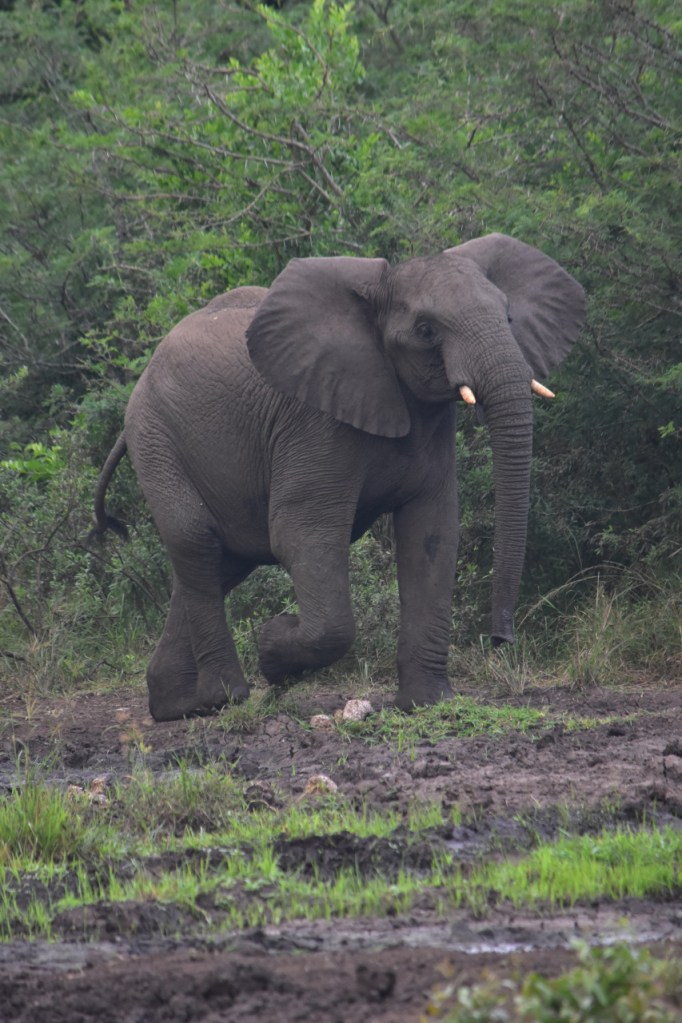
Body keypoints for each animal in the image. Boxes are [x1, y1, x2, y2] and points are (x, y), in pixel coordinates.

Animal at [94, 233, 584, 722]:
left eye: (508, 317)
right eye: (426, 331)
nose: (501, 640)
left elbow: (432, 535)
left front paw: (427, 704)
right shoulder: (313, 421)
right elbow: (300, 536)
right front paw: (272, 650)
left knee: (222, 561)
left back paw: (180, 705)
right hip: (156, 437)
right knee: (197, 541)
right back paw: (224, 697)